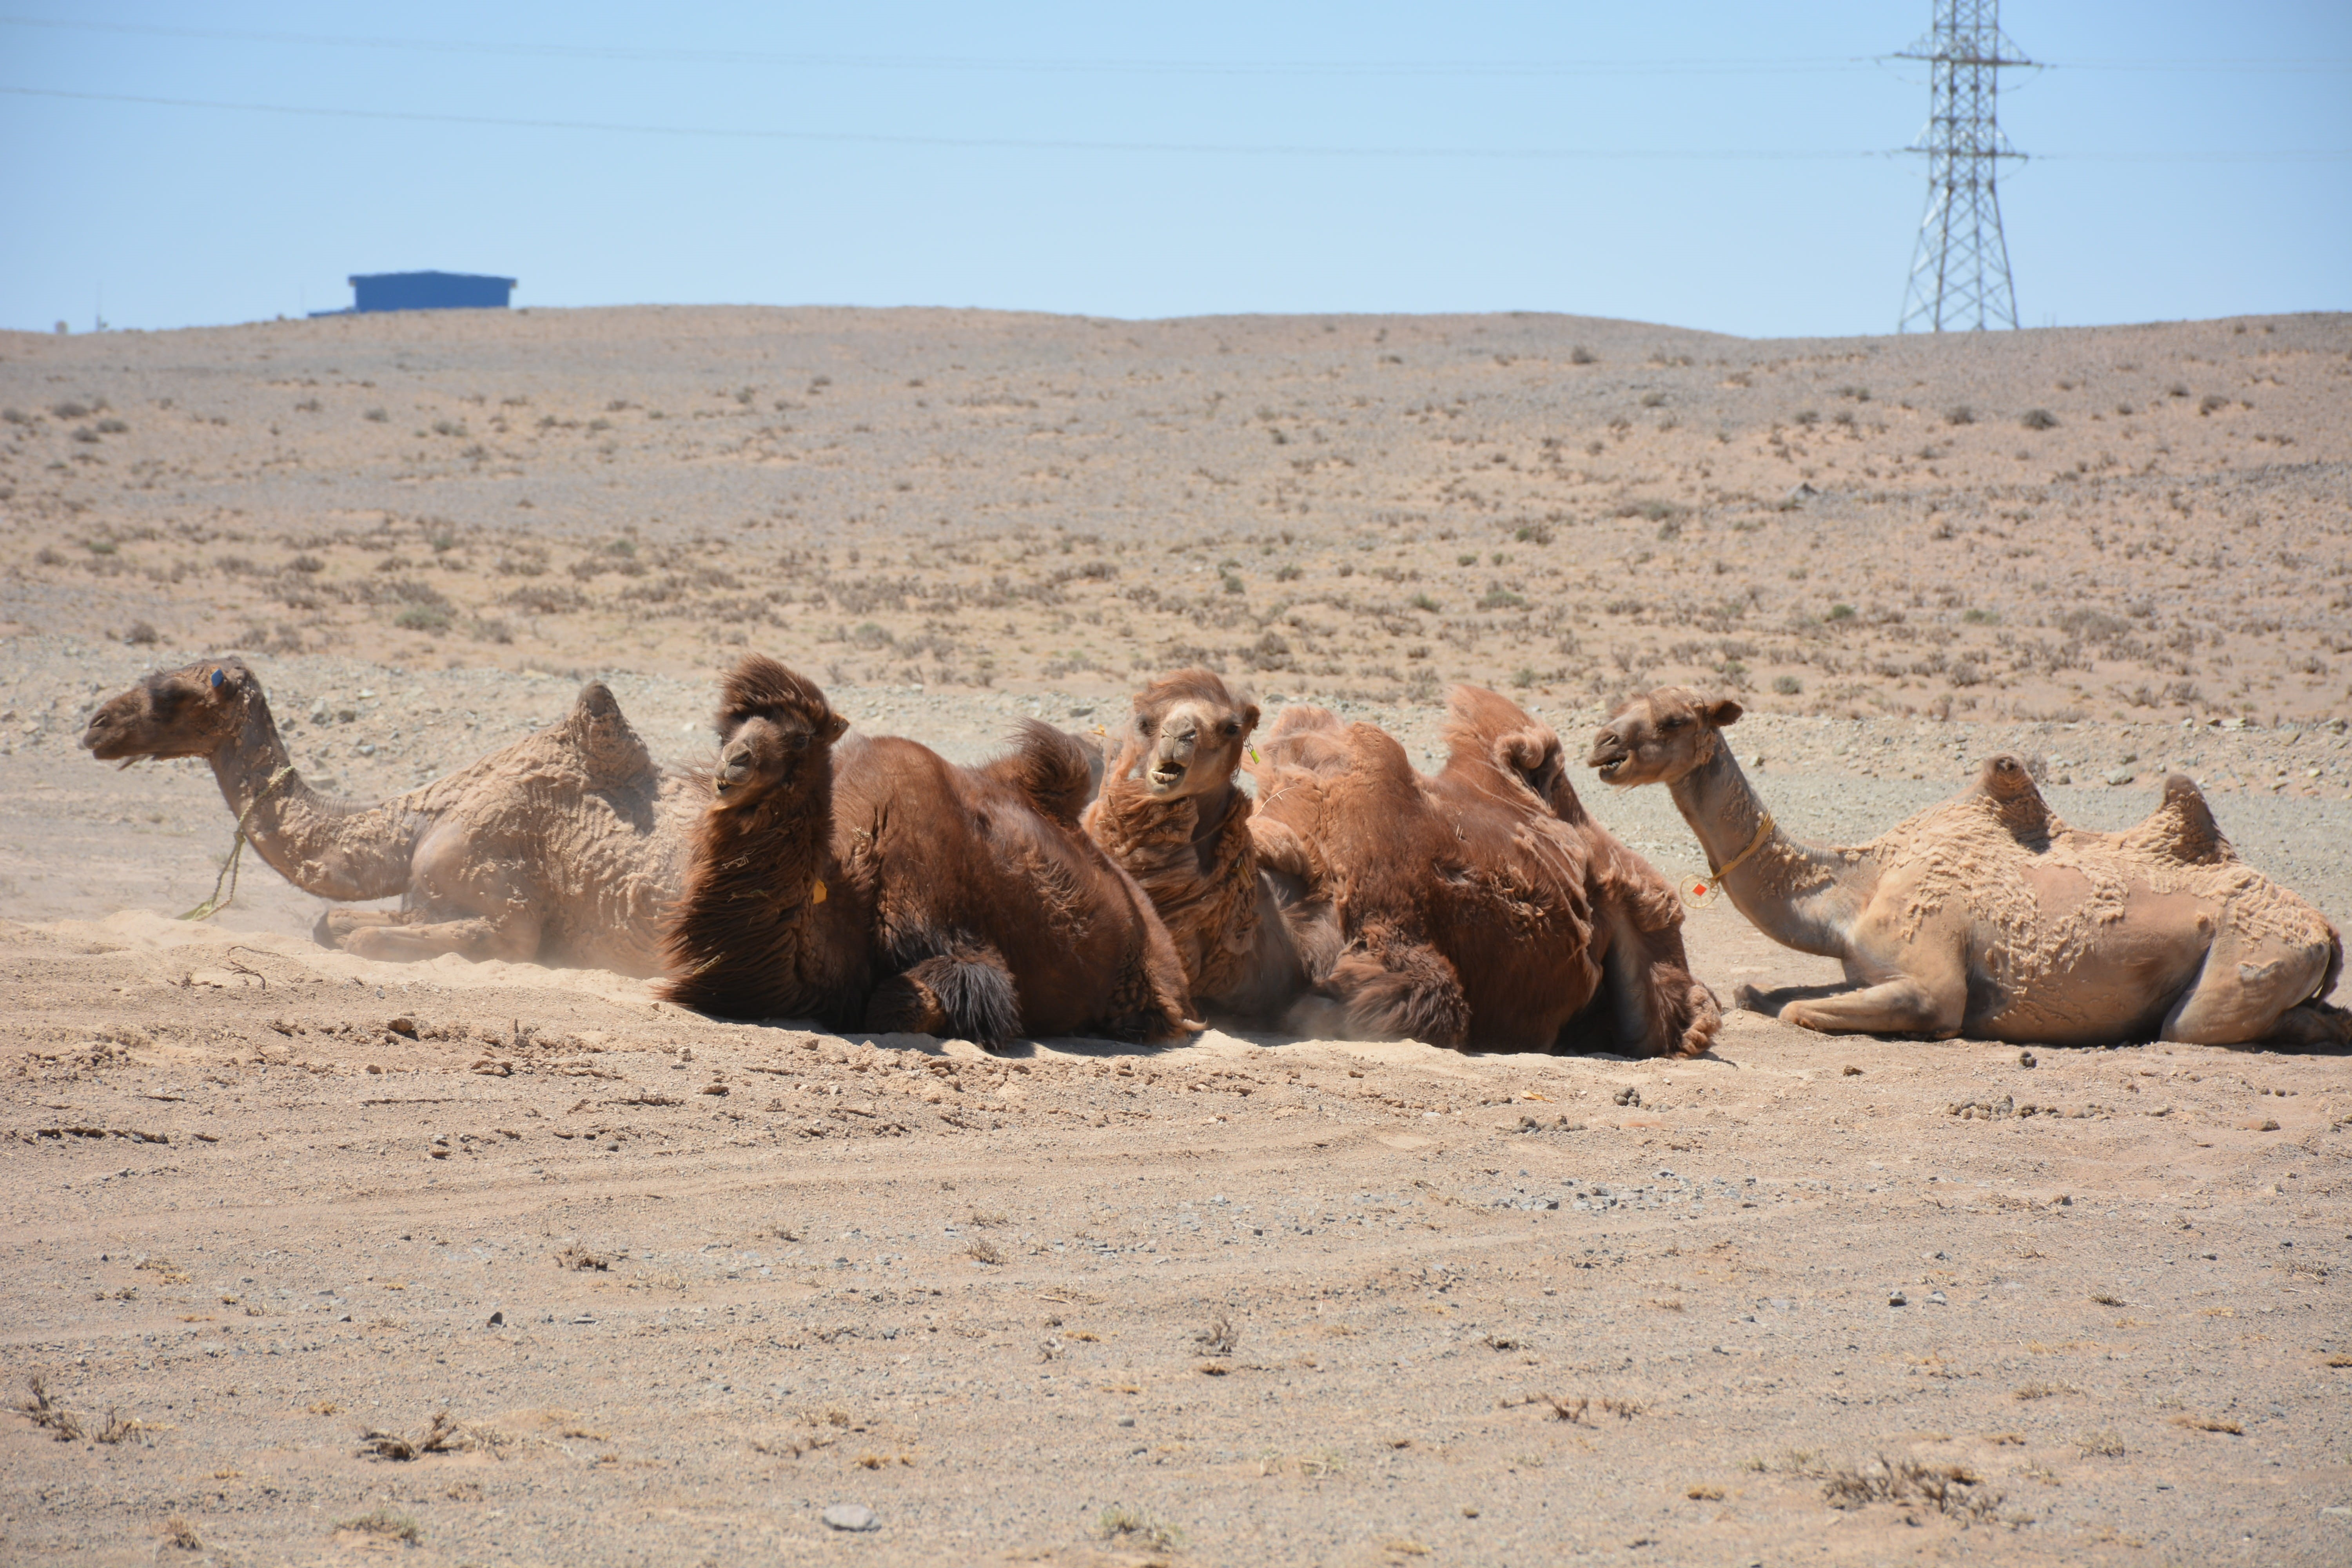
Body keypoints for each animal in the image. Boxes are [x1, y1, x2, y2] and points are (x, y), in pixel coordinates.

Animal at [81, 657, 690, 976]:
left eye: (167, 694)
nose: (95, 725)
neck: (420, 823)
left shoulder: (505, 912)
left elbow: (366, 942)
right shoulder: (426, 901)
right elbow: (331, 924)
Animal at [660, 653, 1195, 1048]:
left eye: (800, 737)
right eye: (726, 730)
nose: (733, 764)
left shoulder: (951, 942)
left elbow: (898, 1004)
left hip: (1149, 981)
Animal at [1586, 687, 2351, 1047]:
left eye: (1678, 720)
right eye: (1619, 704)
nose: (1603, 747)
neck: (1851, 894)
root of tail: (2324, 927)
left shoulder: (1932, 982)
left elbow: (1804, 1009)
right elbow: (1763, 993)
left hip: (2243, 964)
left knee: (2200, 1026)